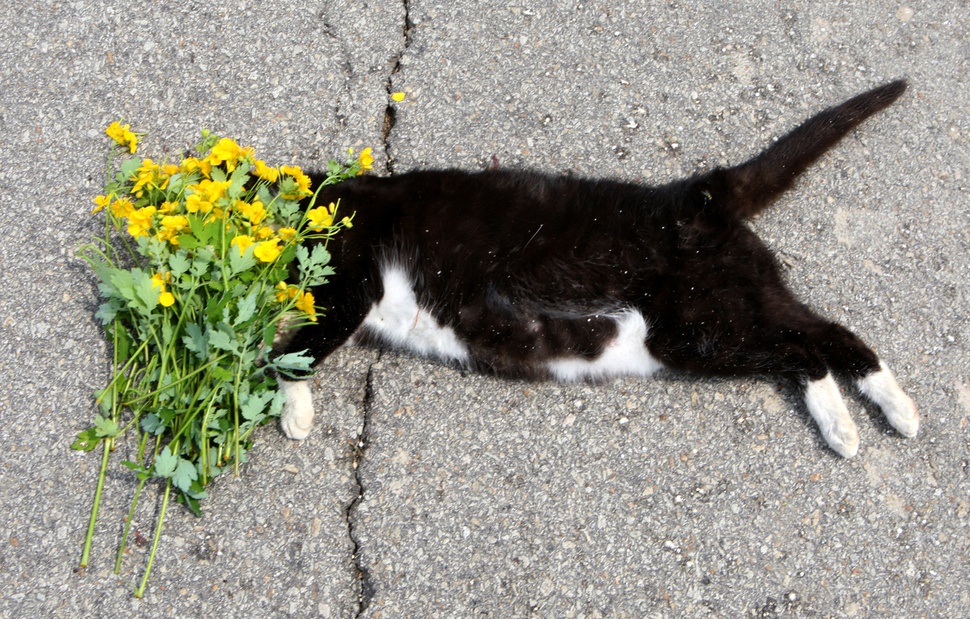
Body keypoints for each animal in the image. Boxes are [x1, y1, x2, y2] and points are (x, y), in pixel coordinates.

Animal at [278, 80, 916, 458]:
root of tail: (699, 195)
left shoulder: (353, 278)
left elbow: (297, 350)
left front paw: (294, 414)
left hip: (700, 328)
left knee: (805, 348)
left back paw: (855, 427)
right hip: (733, 304)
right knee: (826, 335)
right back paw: (884, 415)